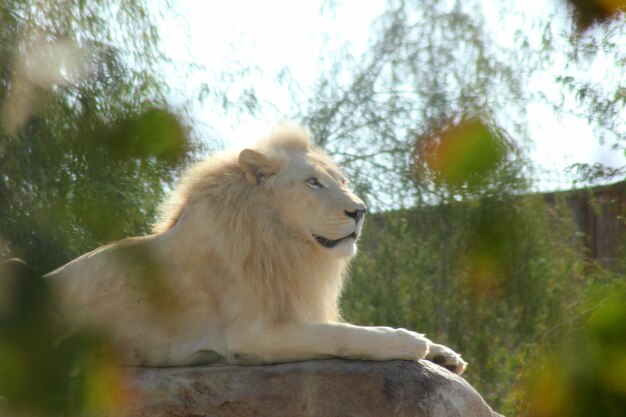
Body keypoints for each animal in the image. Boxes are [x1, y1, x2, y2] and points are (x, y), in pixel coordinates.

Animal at [46, 123, 466, 374]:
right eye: (313, 182)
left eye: (342, 180)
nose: (360, 211)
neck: (285, 243)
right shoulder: (253, 335)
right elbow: (342, 334)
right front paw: (404, 340)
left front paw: (442, 352)